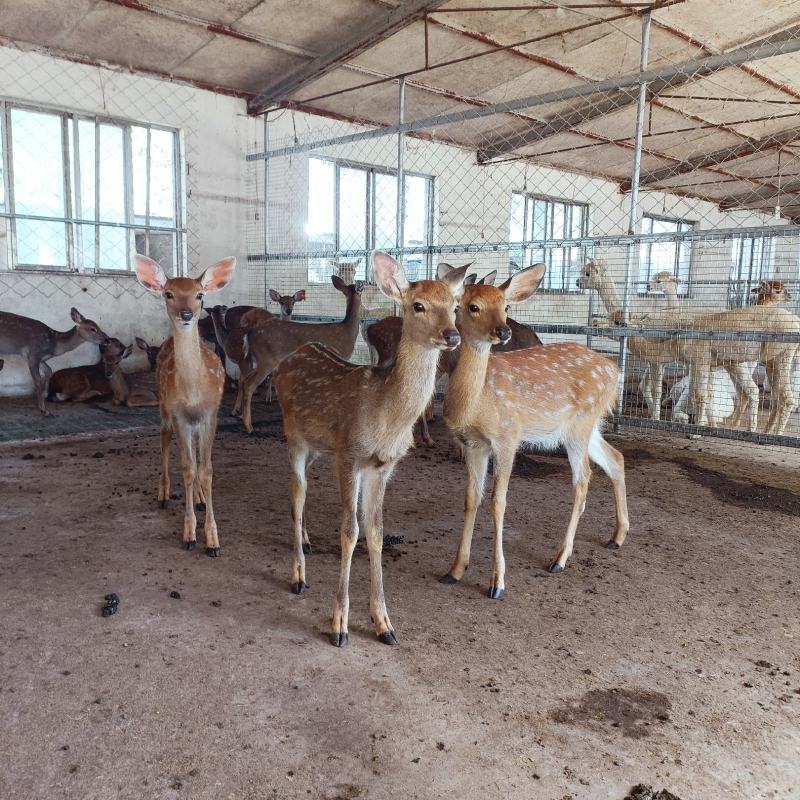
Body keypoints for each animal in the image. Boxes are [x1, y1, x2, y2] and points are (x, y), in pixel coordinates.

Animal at [134, 254, 236, 556]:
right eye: (169, 293)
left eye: (200, 294)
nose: (188, 313)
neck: (192, 393)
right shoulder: (179, 415)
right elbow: (188, 468)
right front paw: (190, 534)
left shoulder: (210, 414)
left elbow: (206, 469)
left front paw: (213, 539)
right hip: (165, 408)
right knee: (165, 438)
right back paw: (163, 493)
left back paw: (200, 499)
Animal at [236, 276, 364, 434]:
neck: (347, 331)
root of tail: (249, 334)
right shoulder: (339, 355)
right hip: (267, 359)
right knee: (249, 384)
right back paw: (249, 426)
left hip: (259, 360)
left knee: (244, 379)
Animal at [275, 251, 467, 648]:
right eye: (418, 305)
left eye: (455, 306)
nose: (452, 335)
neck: (386, 417)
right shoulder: (349, 455)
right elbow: (350, 531)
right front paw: (339, 624)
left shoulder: (382, 466)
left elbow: (376, 532)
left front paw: (384, 623)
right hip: (294, 436)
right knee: (296, 492)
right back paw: (299, 574)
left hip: (319, 446)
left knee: (305, 491)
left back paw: (306, 541)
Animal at [440, 264, 629, 596]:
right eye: (472, 306)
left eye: (505, 306)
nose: (503, 331)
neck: (476, 402)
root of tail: (615, 371)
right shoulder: (473, 445)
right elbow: (471, 499)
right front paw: (455, 570)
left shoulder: (507, 436)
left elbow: (498, 502)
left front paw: (497, 582)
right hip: (586, 426)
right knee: (615, 458)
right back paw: (617, 537)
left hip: (580, 425)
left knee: (583, 479)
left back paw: (560, 558)